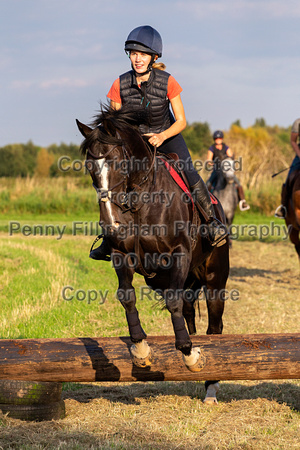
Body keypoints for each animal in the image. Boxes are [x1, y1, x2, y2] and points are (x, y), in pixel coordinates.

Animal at [75, 106, 230, 404]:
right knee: (188, 310)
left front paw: (191, 355)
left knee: (214, 327)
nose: (111, 224)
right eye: (89, 166)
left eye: (117, 163)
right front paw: (141, 351)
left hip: (215, 279)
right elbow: (127, 296)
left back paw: (211, 386)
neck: (139, 200)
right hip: (160, 278)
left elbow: (173, 303)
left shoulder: (179, 253)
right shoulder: (122, 254)